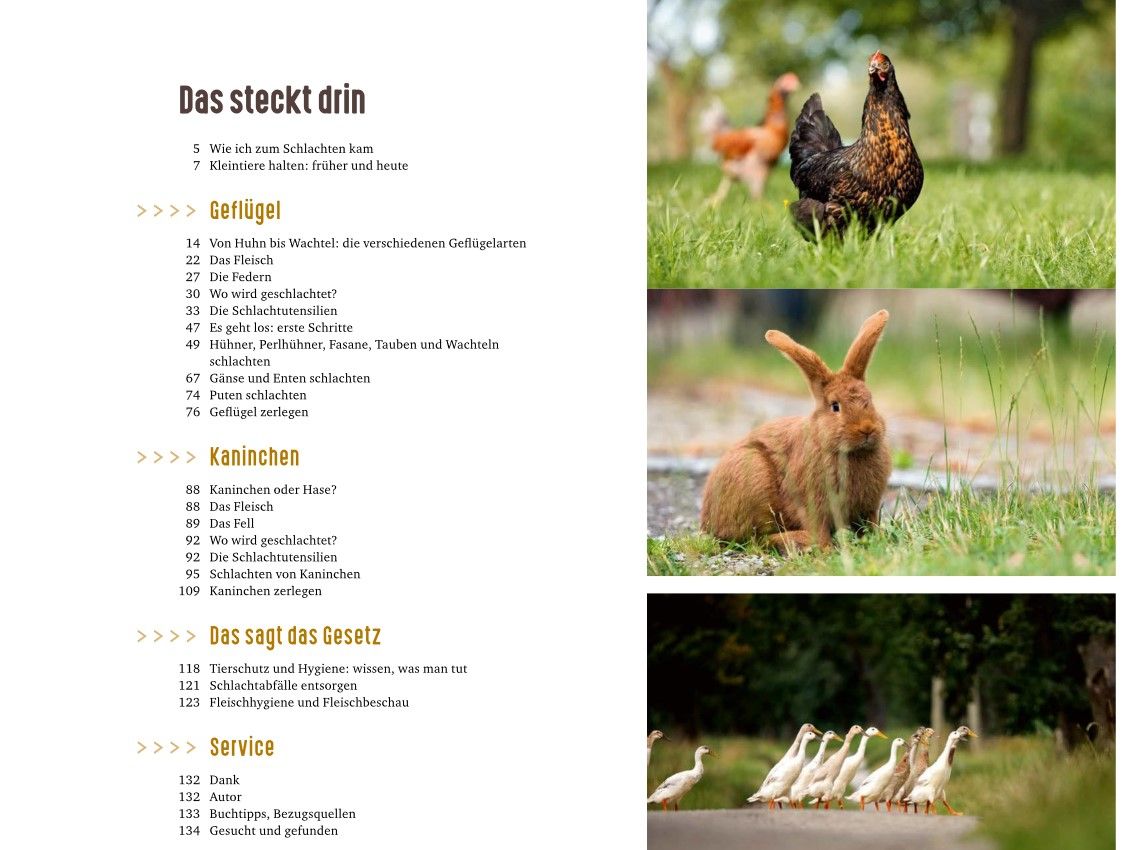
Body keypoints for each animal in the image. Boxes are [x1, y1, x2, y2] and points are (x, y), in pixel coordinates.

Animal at [700, 309, 891, 552]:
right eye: (835, 406)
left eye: (870, 400)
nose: (866, 429)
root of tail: (707, 520)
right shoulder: (812, 505)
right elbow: (819, 529)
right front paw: (826, 550)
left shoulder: (867, 509)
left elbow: (869, 525)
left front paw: (879, 541)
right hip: (753, 480)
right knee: (755, 539)